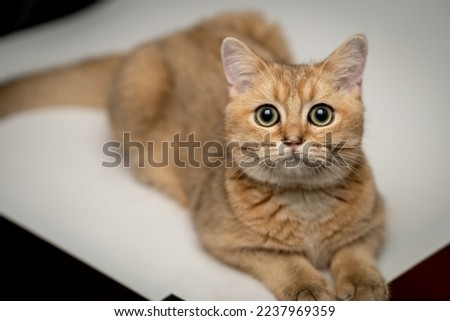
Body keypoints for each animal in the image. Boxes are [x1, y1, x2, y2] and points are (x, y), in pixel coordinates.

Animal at [0, 11, 386, 298]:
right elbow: (282, 260)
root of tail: (170, 34)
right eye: (267, 115)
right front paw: (307, 285)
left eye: (321, 115)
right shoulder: (221, 239)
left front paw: (363, 281)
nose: (292, 140)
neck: (304, 203)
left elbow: (355, 249)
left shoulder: (377, 220)